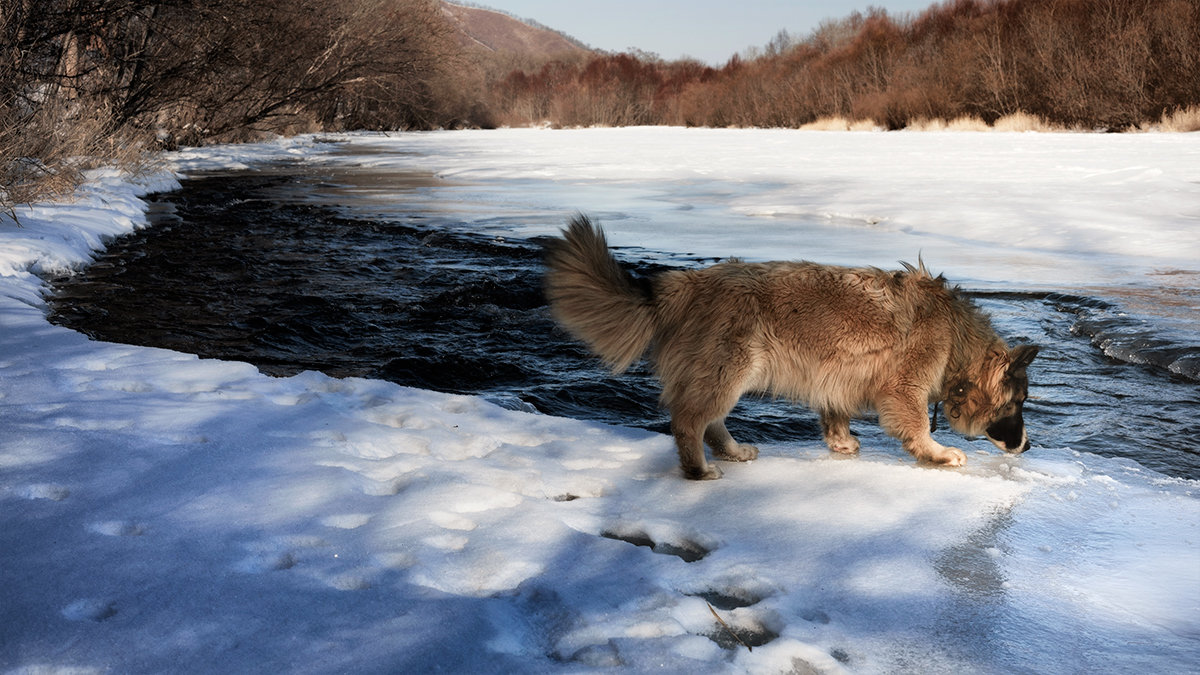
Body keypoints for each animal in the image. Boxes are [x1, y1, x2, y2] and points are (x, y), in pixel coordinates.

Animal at [547, 214, 1041, 478]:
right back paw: (699, 469)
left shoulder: (839, 375)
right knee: (689, 422)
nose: (1028, 446)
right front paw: (936, 453)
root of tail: (684, 284)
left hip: (725, 373)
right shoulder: (904, 388)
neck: (957, 338)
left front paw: (840, 441)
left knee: (709, 421)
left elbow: (835, 412)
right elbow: (916, 424)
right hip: (728, 370)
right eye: (1018, 403)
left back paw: (732, 451)